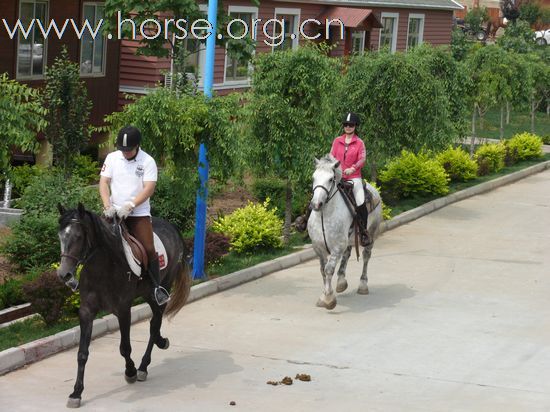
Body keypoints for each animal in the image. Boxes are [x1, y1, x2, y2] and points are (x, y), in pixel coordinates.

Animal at [56, 203, 190, 406]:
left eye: (78, 236)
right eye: (60, 236)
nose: (64, 275)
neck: (103, 268)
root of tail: (172, 227)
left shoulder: (123, 309)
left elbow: (125, 347)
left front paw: (131, 371)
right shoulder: (86, 311)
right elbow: (82, 353)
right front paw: (76, 393)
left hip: (163, 286)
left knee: (155, 323)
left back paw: (143, 366)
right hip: (147, 293)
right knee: (155, 322)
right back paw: (160, 342)